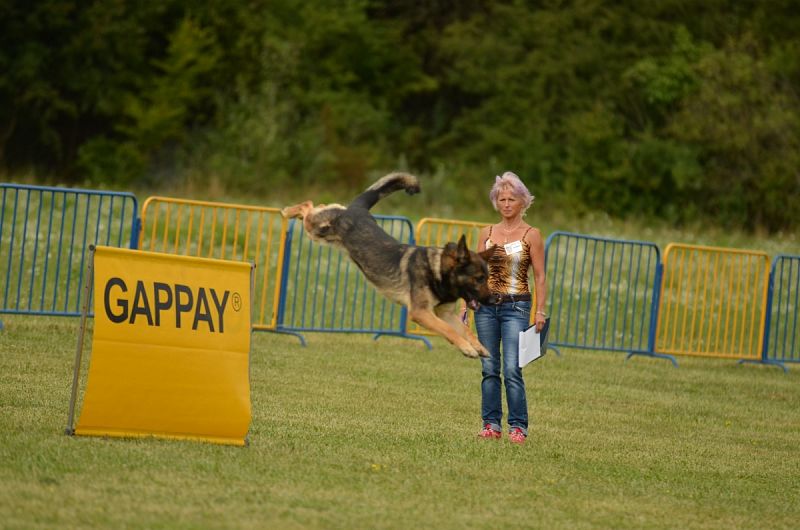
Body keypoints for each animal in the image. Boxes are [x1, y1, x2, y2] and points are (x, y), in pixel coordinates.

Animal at [278, 173, 496, 358]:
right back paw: (288, 211)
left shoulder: (445, 313)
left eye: (487, 278)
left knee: (318, 205)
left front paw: (479, 347)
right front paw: (467, 348)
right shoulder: (421, 313)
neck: (437, 271)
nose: (496, 300)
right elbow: (448, 329)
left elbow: (465, 329)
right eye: (479, 278)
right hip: (315, 230)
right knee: (308, 205)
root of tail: (357, 209)